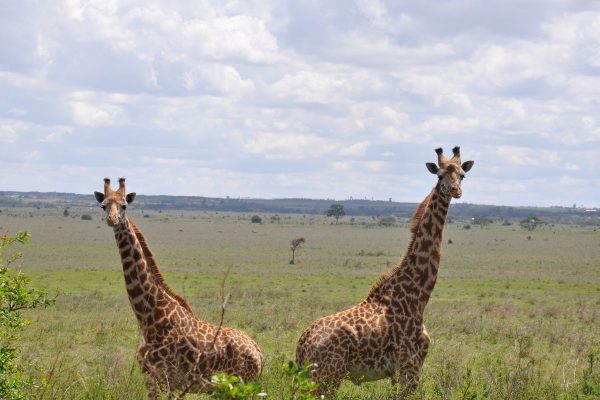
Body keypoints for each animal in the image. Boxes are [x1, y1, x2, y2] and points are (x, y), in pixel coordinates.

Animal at [94, 179, 262, 400]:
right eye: (103, 205)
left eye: (124, 205)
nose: (112, 219)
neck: (149, 319)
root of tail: (259, 352)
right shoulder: (151, 377)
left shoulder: (168, 379)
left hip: (240, 386)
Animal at [296, 148, 474, 400]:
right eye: (439, 175)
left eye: (462, 175)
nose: (456, 190)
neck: (417, 296)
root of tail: (302, 344)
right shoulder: (410, 366)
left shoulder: (400, 371)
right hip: (327, 376)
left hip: (310, 377)